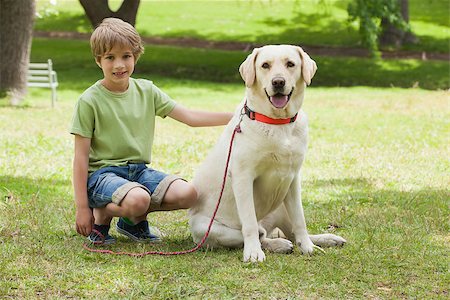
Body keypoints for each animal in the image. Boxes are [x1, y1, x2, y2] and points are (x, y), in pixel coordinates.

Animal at [188, 44, 346, 262]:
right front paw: (253, 253)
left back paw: (324, 239)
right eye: (265, 65)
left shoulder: (293, 178)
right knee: (259, 234)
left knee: (290, 232)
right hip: (208, 229)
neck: (278, 123)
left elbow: (300, 220)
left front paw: (308, 247)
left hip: (281, 204)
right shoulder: (243, 178)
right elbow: (249, 224)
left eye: (290, 64)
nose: (278, 82)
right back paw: (277, 244)